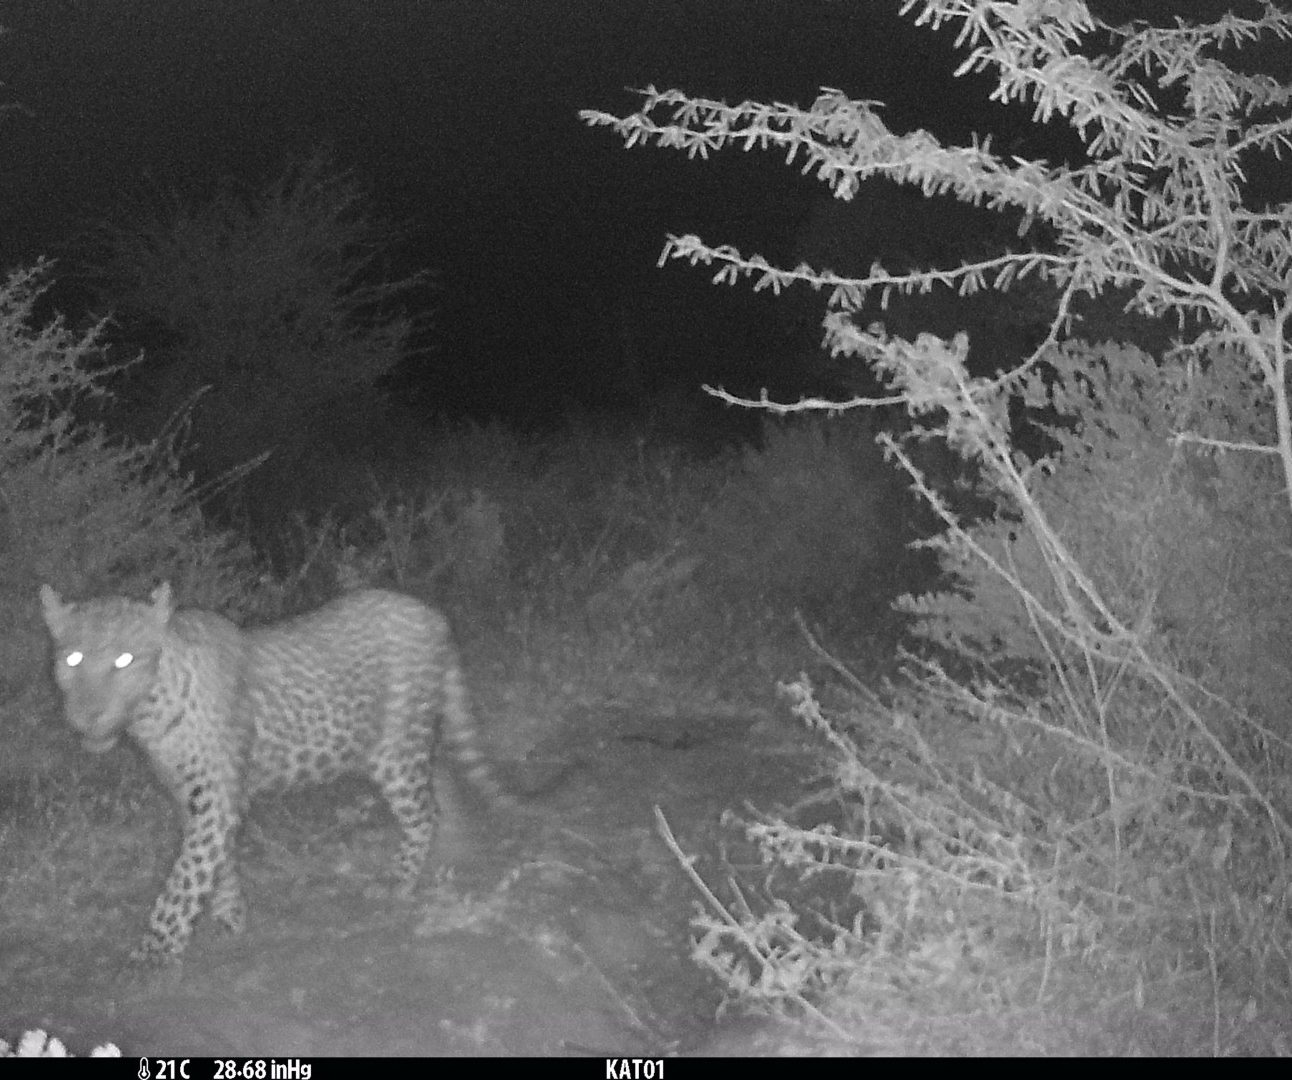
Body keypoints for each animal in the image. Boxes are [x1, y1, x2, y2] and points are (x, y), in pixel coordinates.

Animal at [36, 586, 509, 966]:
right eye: (73, 658)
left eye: (124, 660)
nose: (88, 715)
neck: (150, 711)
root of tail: (431, 612)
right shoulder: (190, 794)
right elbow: (214, 863)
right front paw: (230, 919)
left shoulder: (216, 796)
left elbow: (184, 878)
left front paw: (152, 953)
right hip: (419, 739)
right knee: (441, 784)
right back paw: (452, 850)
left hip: (394, 750)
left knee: (423, 811)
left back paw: (400, 881)